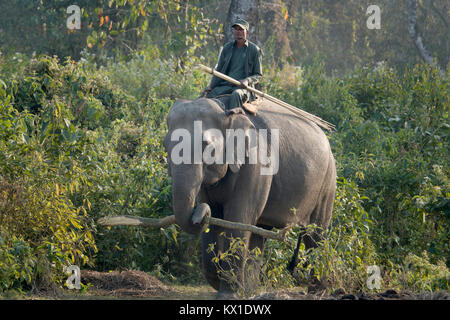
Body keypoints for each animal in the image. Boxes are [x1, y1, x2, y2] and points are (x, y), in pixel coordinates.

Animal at [163, 97, 336, 298]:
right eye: (165, 145)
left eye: (206, 145)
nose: (199, 209)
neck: (226, 111)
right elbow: (214, 223)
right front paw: (223, 281)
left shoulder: (255, 165)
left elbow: (237, 220)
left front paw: (228, 294)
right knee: (258, 235)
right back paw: (250, 291)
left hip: (327, 183)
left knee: (316, 235)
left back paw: (317, 293)